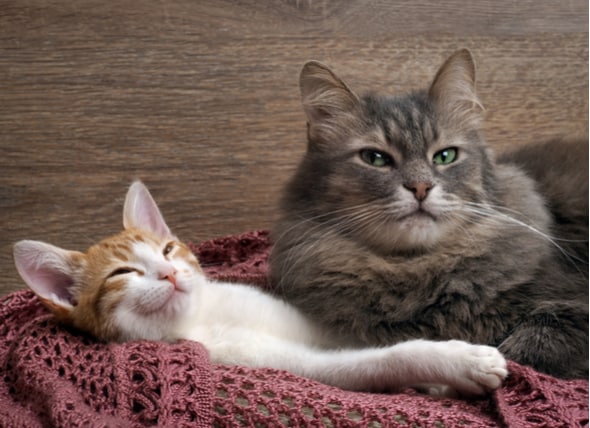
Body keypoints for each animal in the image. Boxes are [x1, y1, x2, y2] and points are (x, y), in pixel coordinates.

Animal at [13, 181, 508, 394]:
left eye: (168, 249)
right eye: (122, 274)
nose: (169, 273)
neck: (204, 315)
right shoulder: (270, 362)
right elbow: (377, 361)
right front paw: (457, 362)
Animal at [270, 48, 588, 380]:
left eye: (445, 156)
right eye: (375, 158)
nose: (420, 187)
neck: (418, 269)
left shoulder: (572, 306)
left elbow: (523, 353)